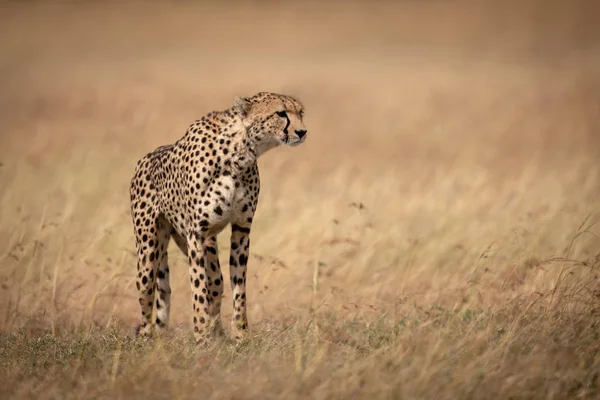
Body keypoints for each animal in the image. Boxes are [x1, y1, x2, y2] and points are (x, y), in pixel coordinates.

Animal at [132, 90, 310, 344]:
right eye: (281, 113)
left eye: (300, 112)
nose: (302, 131)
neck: (239, 154)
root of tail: (147, 157)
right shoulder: (196, 234)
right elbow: (198, 286)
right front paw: (200, 335)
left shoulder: (241, 229)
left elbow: (238, 286)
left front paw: (240, 334)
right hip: (149, 250)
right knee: (148, 292)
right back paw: (148, 336)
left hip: (203, 243)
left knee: (214, 283)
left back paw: (217, 334)